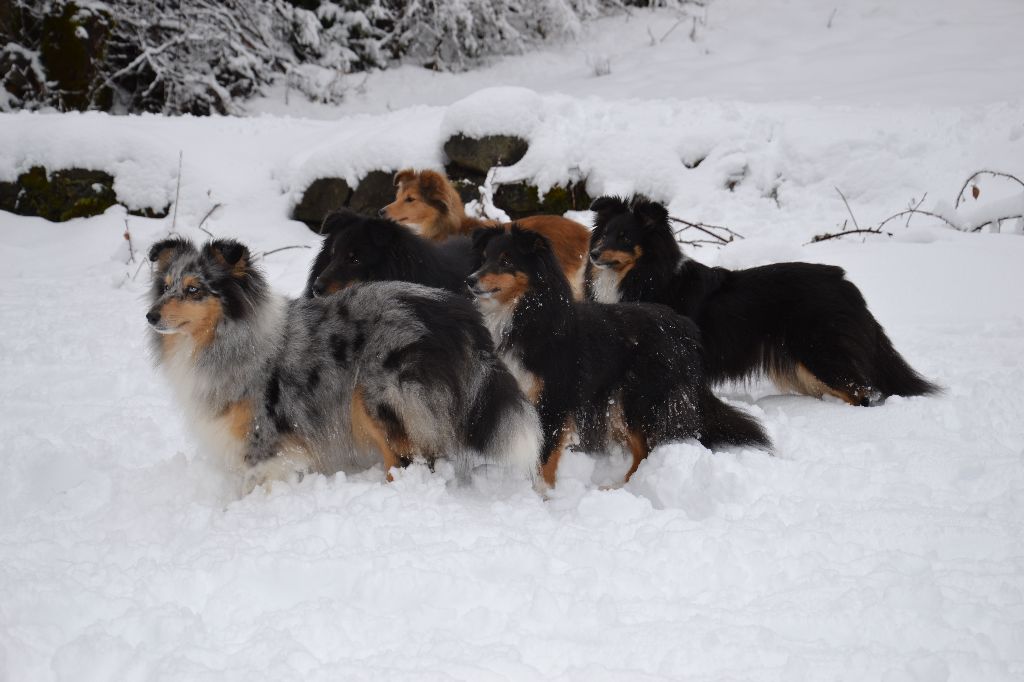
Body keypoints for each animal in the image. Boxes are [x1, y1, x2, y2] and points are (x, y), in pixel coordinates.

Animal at [468, 223, 765, 483]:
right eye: (484, 259)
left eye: (506, 261)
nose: (470, 280)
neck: (525, 315)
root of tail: (682, 328)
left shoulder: (554, 399)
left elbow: (545, 457)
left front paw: (543, 496)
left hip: (636, 401)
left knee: (645, 451)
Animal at [589, 193, 937, 403]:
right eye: (604, 233)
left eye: (625, 237)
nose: (592, 254)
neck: (645, 275)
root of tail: (844, 281)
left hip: (820, 348)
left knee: (860, 392)